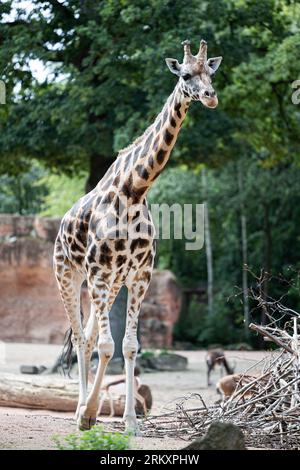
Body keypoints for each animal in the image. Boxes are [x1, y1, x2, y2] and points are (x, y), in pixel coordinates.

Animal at [53, 38, 223, 436]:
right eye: (186, 75)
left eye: (211, 72)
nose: (210, 97)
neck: (134, 190)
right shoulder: (99, 274)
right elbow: (106, 346)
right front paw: (88, 414)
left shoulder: (139, 276)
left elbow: (129, 346)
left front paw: (130, 422)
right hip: (69, 275)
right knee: (82, 338)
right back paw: (80, 410)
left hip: (110, 283)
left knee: (88, 338)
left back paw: (87, 407)